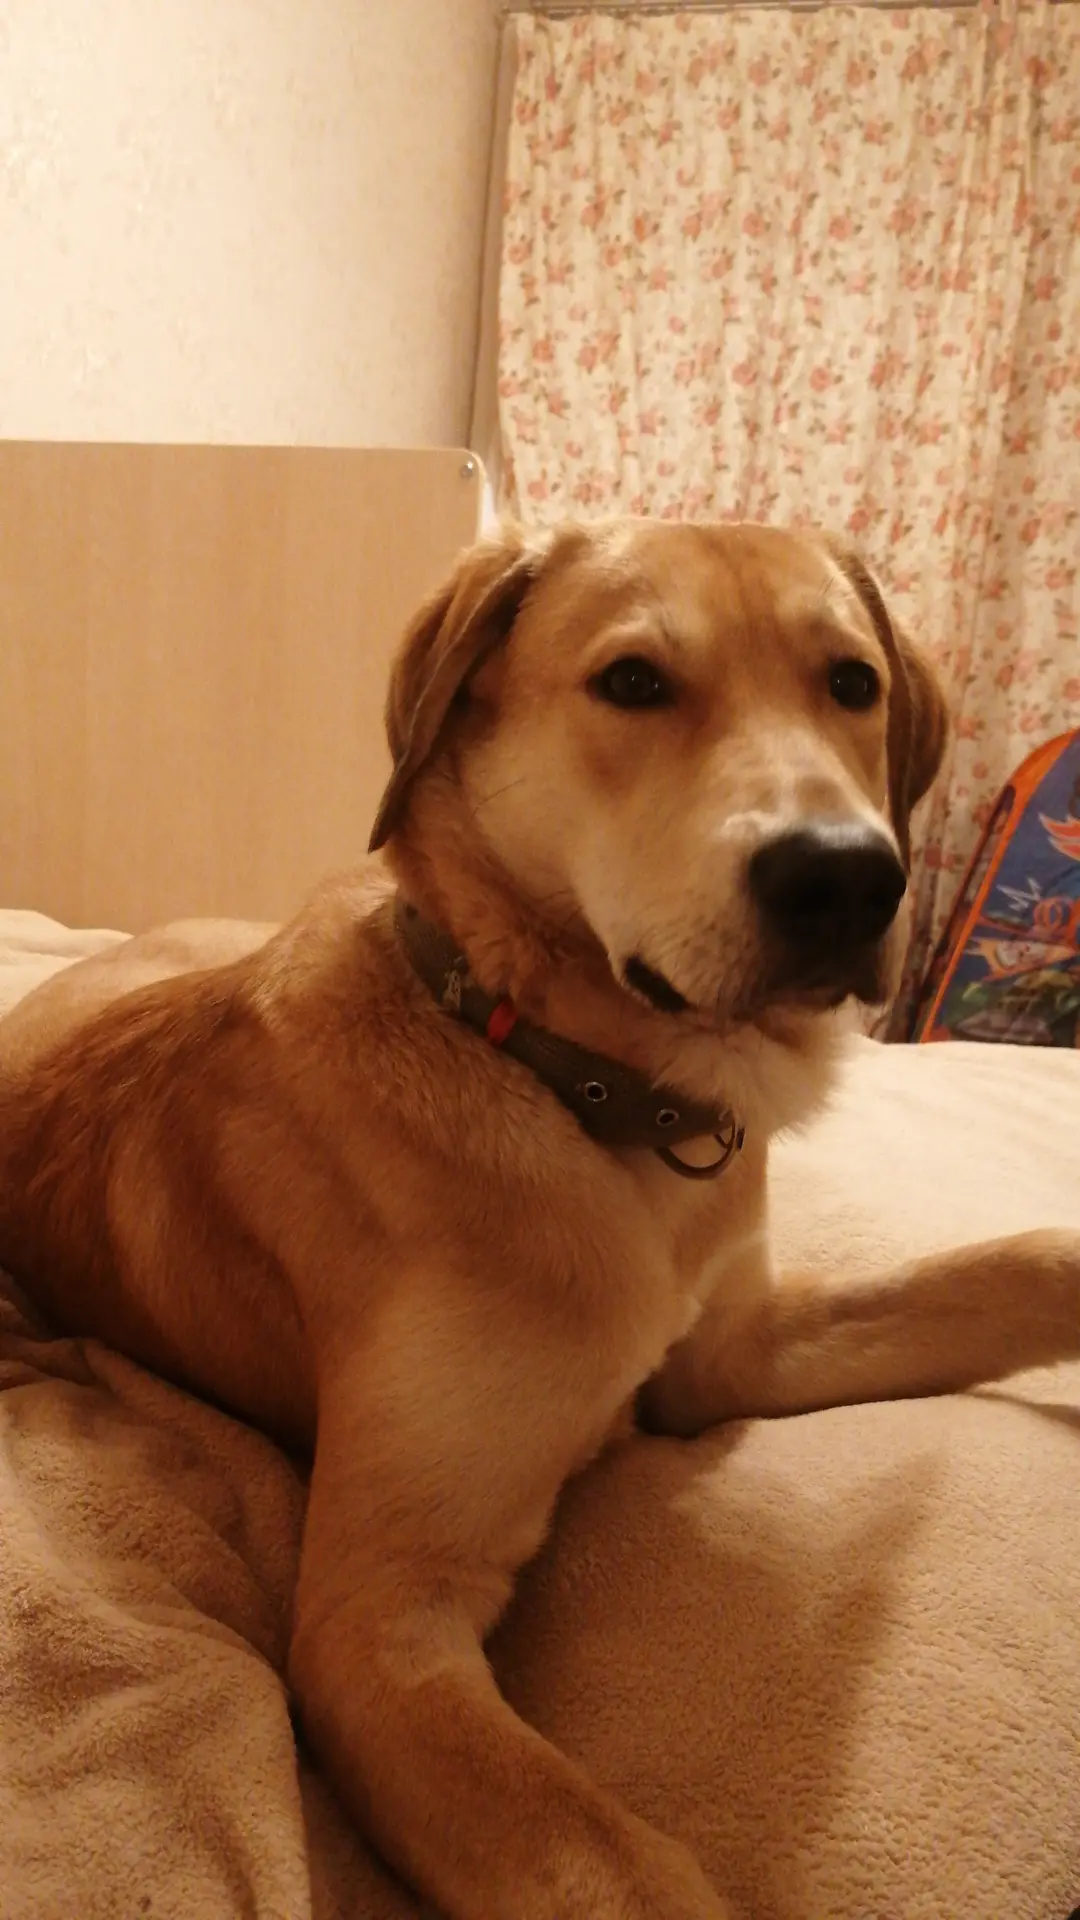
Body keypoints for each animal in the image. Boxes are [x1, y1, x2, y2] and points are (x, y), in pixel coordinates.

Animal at [2, 518, 1079, 1920]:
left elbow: (1009, 1267)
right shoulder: (381, 1624)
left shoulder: (735, 1353)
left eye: (852, 682)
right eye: (633, 682)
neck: (581, 1090)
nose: (849, 881)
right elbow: (615, 1870)